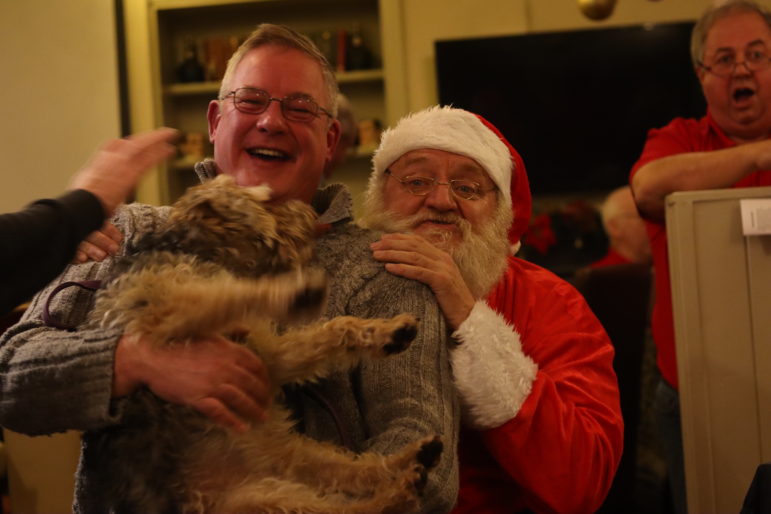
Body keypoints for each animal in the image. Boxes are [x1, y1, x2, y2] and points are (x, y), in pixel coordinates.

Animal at [87, 174, 444, 510]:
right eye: (267, 200)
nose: (309, 213)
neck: (194, 248)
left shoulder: (268, 359)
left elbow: (333, 329)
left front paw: (388, 331)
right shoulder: (164, 319)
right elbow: (227, 295)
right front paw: (294, 292)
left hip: (293, 471)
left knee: (358, 475)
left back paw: (414, 460)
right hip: (261, 501)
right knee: (355, 504)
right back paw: (403, 485)